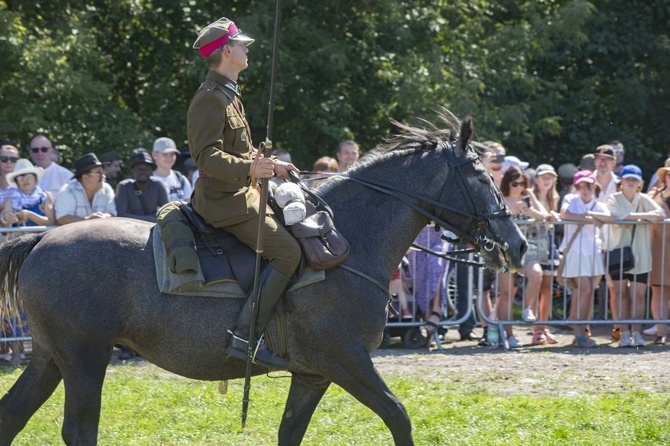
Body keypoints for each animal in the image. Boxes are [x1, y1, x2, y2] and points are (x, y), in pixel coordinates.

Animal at [0, 116, 524, 446]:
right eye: (481, 176)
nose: (517, 245)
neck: (351, 240)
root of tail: (41, 241)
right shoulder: (347, 361)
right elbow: (399, 417)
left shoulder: (314, 374)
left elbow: (290, 433)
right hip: (84, 360)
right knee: (78, 431)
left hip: (51, 359)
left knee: (12, 417)